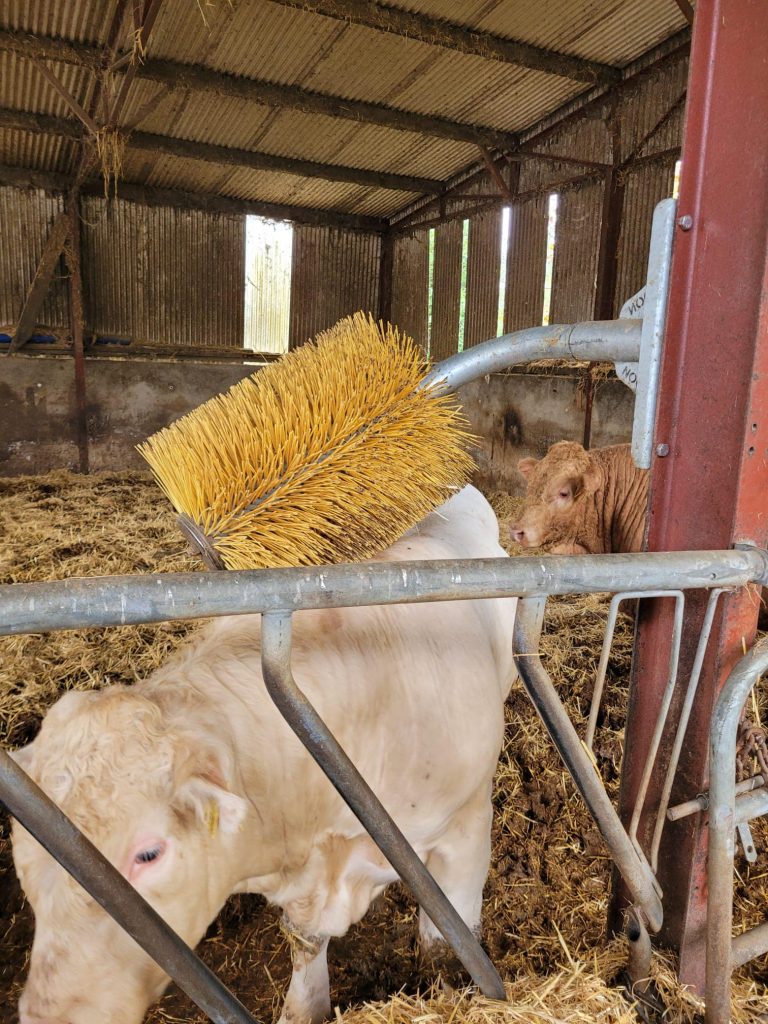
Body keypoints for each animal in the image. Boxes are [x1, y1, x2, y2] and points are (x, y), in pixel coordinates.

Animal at [11, 484, 517, 1024]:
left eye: (149, 853)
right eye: (25, 855)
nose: (49, 1013)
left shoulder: (467, 826)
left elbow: (447, 934)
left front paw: (453, 988)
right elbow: (307, 942)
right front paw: (304, 1006)